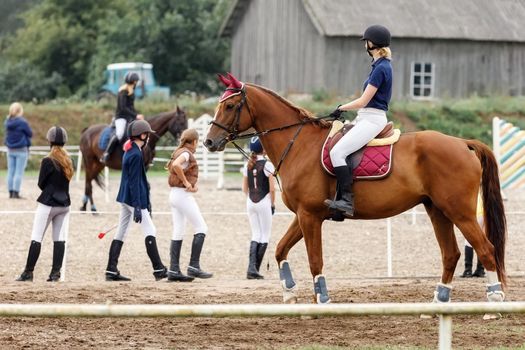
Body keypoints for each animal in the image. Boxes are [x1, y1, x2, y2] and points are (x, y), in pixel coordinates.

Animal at [203, 74, 506, 306]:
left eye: (230, 105)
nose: (209, 142)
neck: (298, 144)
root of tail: (463, 143)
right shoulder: (304, 215)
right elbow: (280, 250)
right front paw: (289, 293)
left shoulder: (310, 216)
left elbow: (315, 260)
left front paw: (322, 299)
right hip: (437, 210)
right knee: (451, 254)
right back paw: (439, 303)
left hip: (459, 212)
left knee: (486, 249)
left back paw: (494, 301)